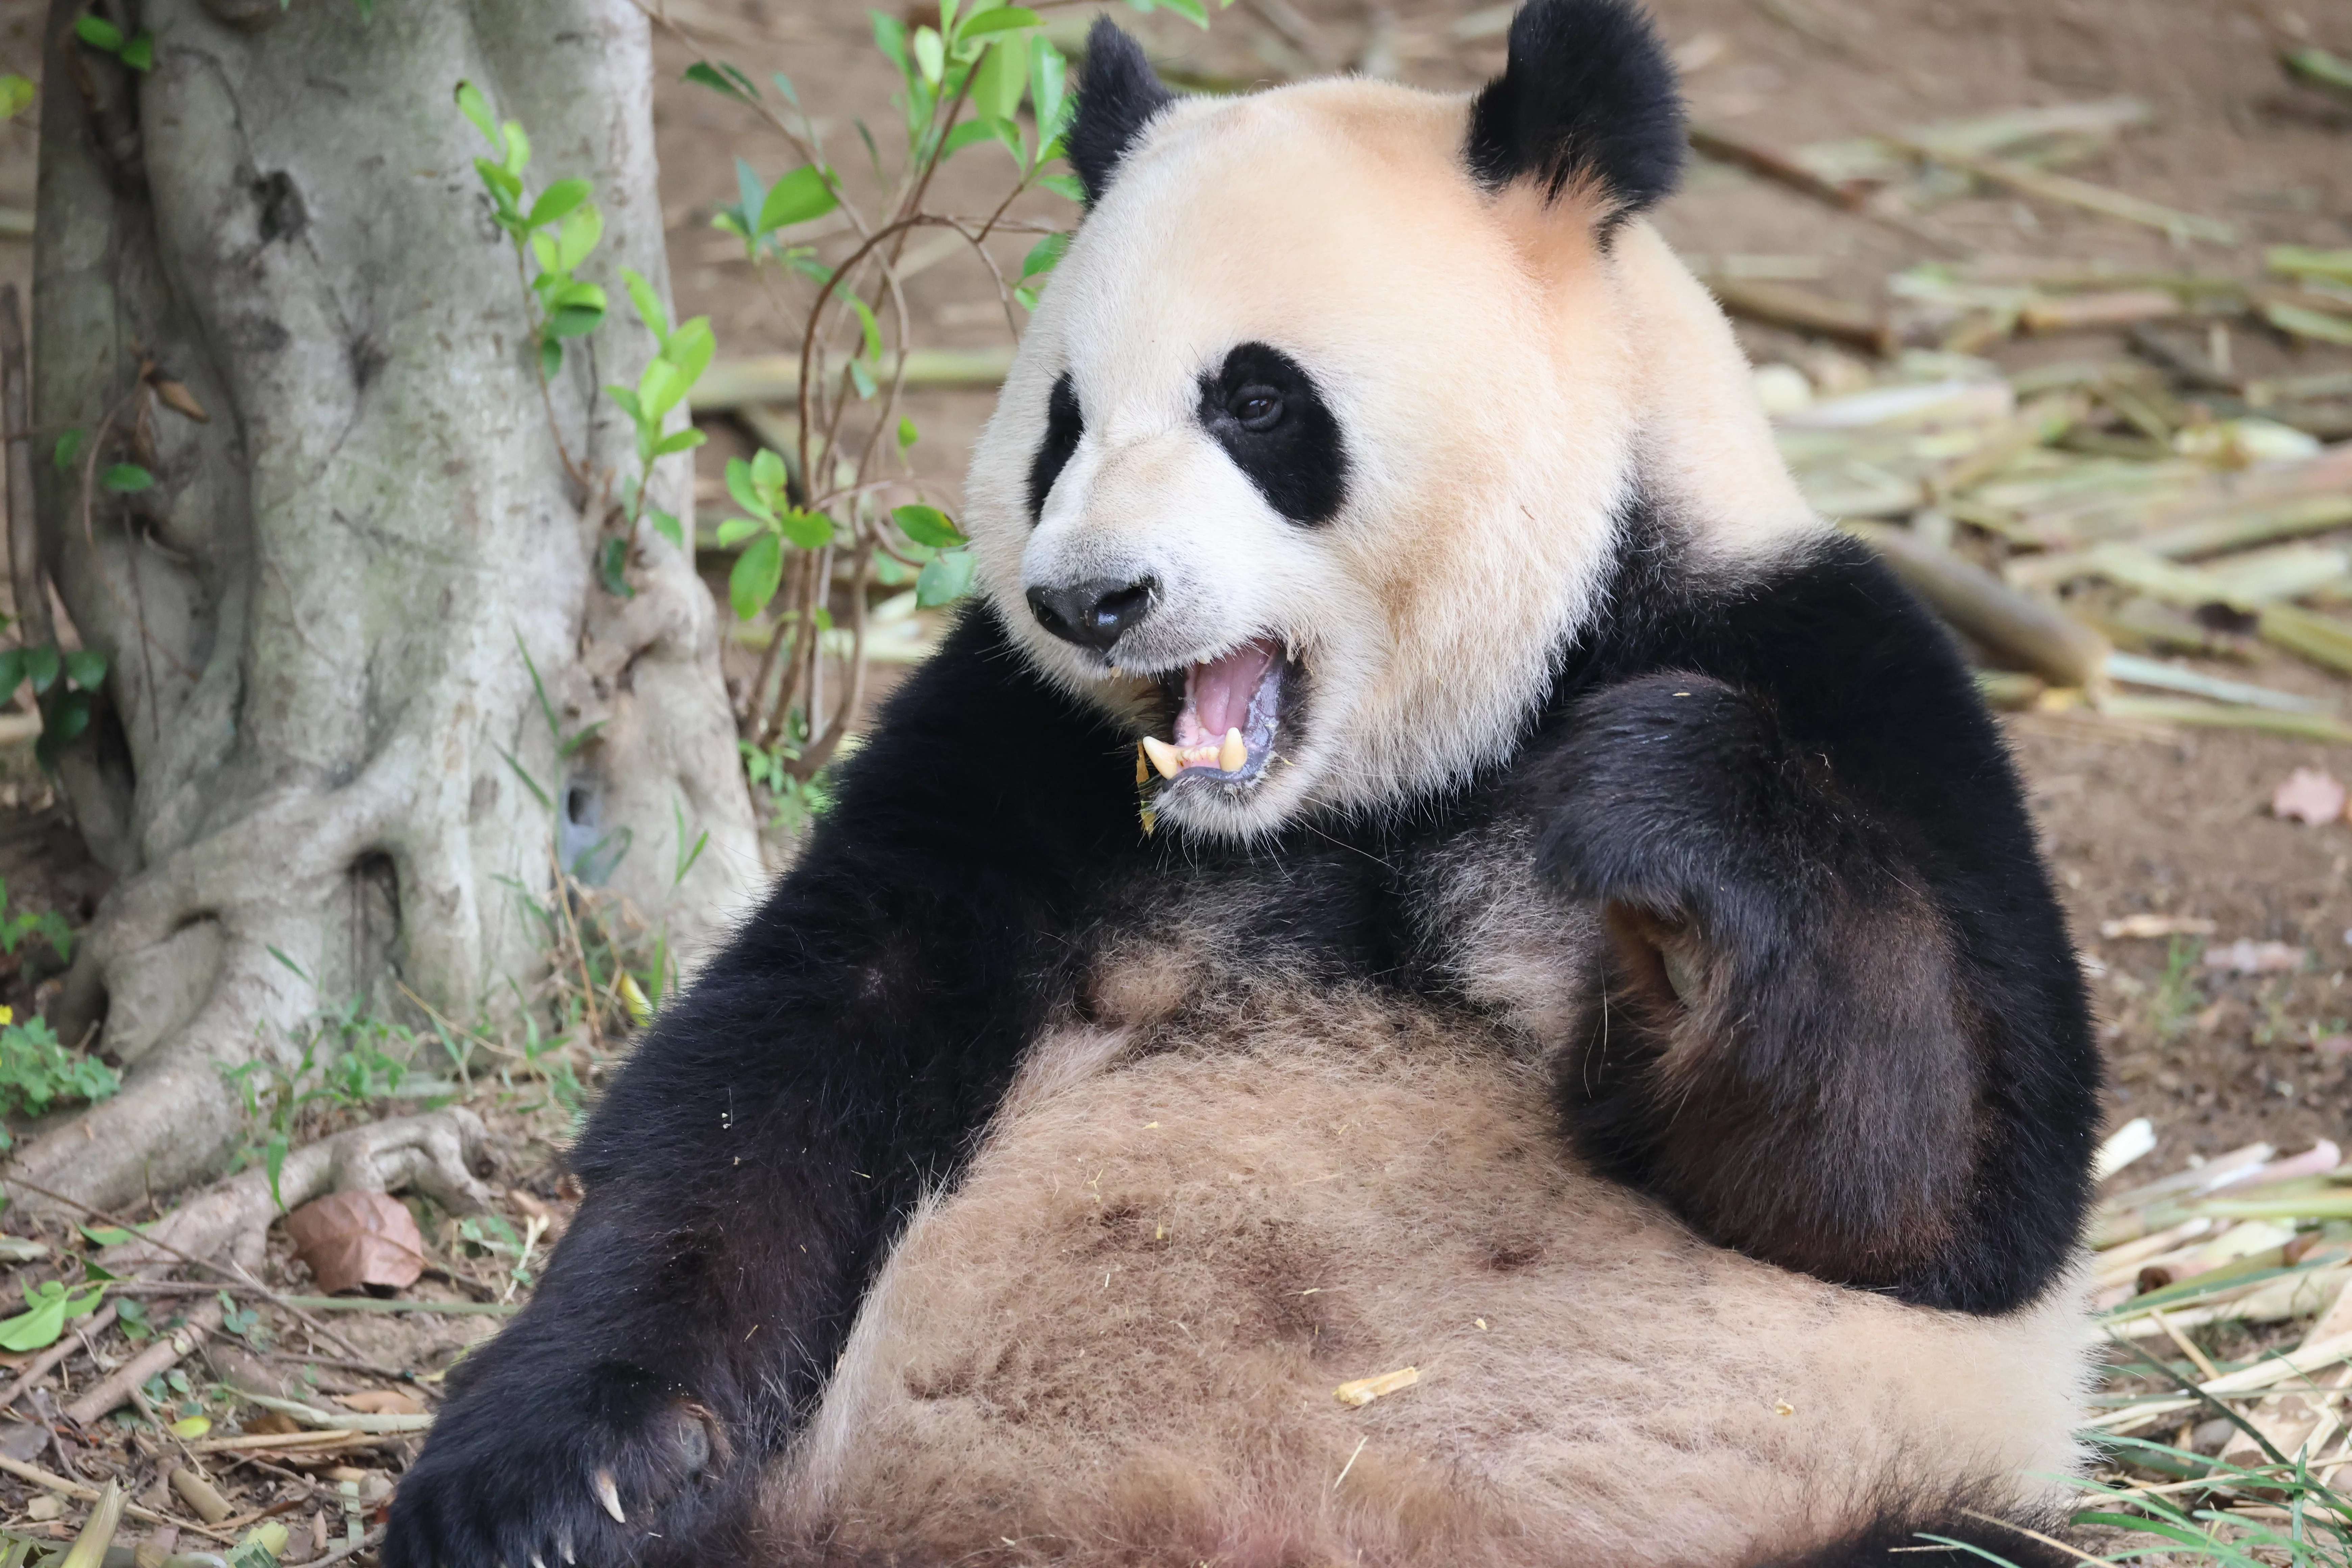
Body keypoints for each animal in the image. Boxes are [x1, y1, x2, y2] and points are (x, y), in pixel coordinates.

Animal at [384, 2, 2102, 1564]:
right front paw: (553, 1485)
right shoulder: (1011, 736)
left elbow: (1934, 1194)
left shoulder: (1838, 665)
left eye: (1258, 401)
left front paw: (1654, 818)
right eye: (1062, 421)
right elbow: (782, 1068)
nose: (1091, 599)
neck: (1382, 778)